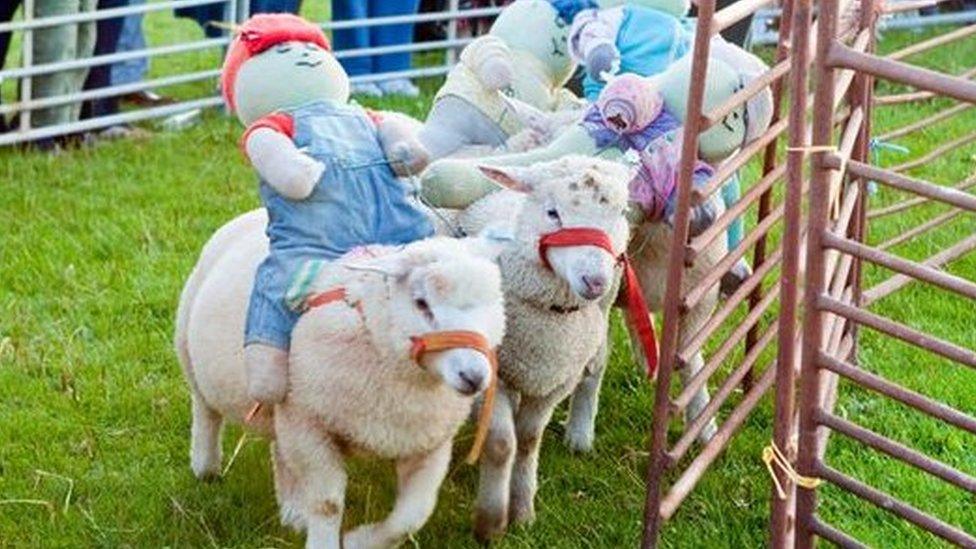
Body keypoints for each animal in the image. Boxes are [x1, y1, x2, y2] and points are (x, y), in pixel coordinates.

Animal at [175, 215, 508, 548]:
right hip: (191, 353)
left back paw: (293, 513)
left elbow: (413, 514)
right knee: (205, 413)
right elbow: (328, 503)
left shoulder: (429, 443)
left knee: (280, 449)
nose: (474, 376)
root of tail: (252, 214)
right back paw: (206, 468)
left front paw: (361, 540)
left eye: (493, 300)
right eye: (421, 303)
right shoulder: (310, 425)